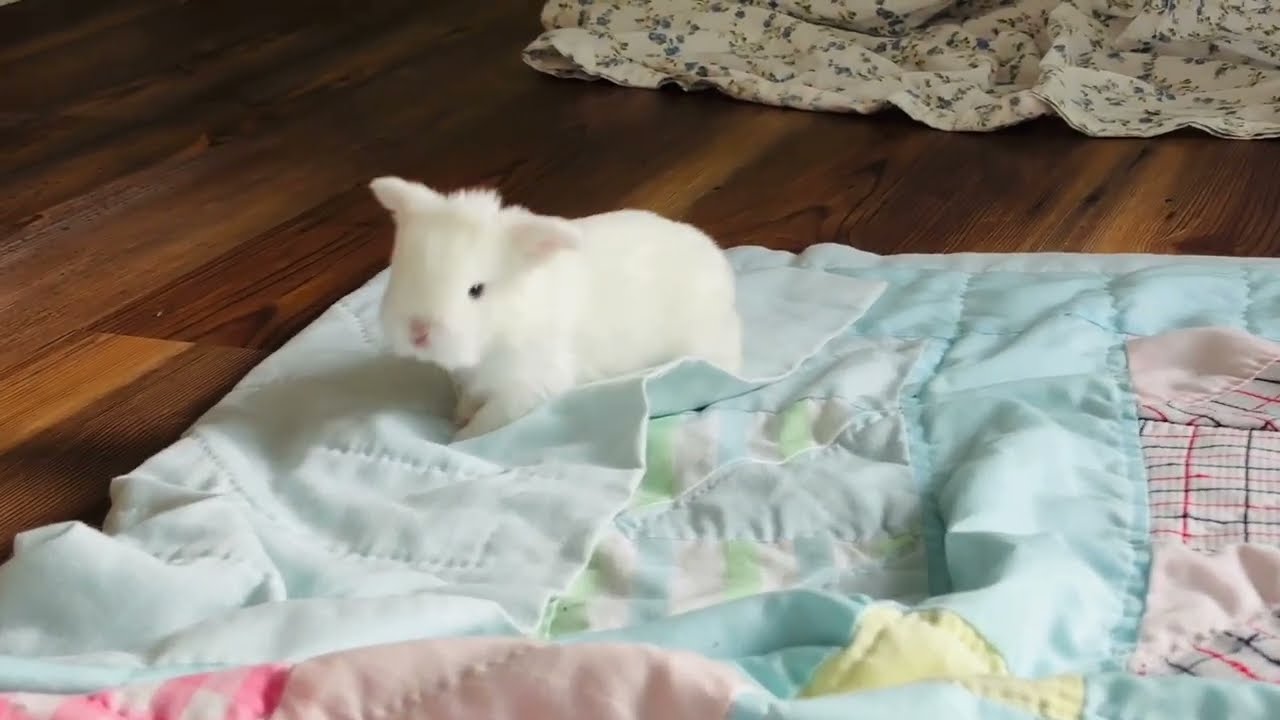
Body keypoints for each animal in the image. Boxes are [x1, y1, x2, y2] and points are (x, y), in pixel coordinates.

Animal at [368, 176, 743, 441]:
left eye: (476, 290)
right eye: (402, 272)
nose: (418, 331)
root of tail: (720, 266)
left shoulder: (526, 387)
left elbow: (492, 418)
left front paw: (458, 436)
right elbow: (471, 399)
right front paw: (459, 415)